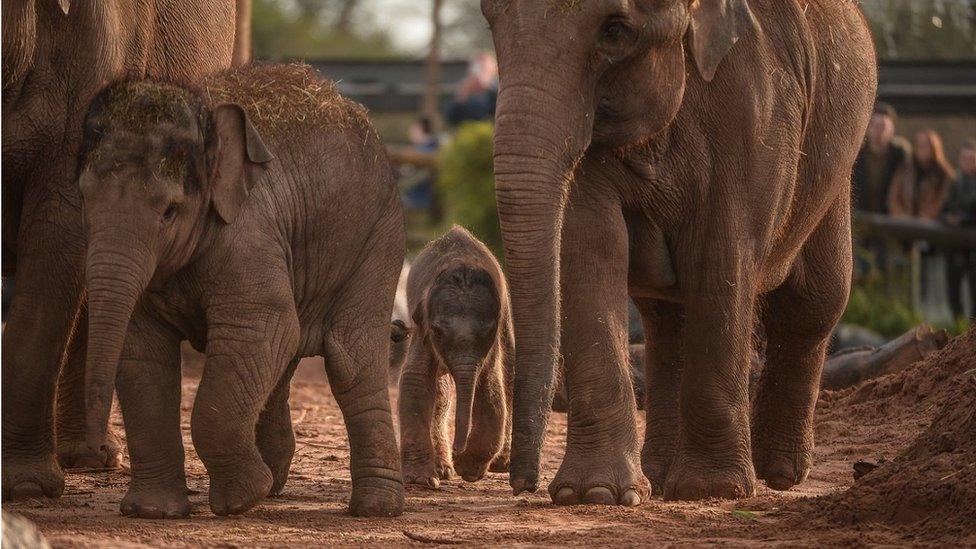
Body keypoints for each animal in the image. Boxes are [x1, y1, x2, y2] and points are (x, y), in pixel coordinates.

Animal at [77, 64, 408, 520]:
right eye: (85, 200)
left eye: (170, 211)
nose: (98, 452)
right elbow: (143, 350)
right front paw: (154, 511)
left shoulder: (248, 236)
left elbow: (263, 328)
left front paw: (240, 499)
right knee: (287, 357)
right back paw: (275, 482)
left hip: (378, 238)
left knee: (351, 360)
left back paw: (374, 508)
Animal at [398, 225, 516, 486]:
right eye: (438, 331)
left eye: (488, 331)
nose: (457, 450)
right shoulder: (422, 325)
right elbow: (416, 381)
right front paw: (420, 480)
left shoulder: (492, 340)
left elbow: (490, 386)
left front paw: (469, 469)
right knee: (441, 392)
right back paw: (443, 470)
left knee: (509, 375)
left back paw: (499, 464)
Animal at [486, 0, 876, 506]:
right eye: (491, 22)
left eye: (615, 31)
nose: (520, 484)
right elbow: (589, 245)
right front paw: (595, 493)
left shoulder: (757, 108)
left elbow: (722, 254)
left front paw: (712, 489)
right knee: (666, 316)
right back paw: (659, 474)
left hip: (835, 166)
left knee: (814, 301)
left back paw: (778, 474)